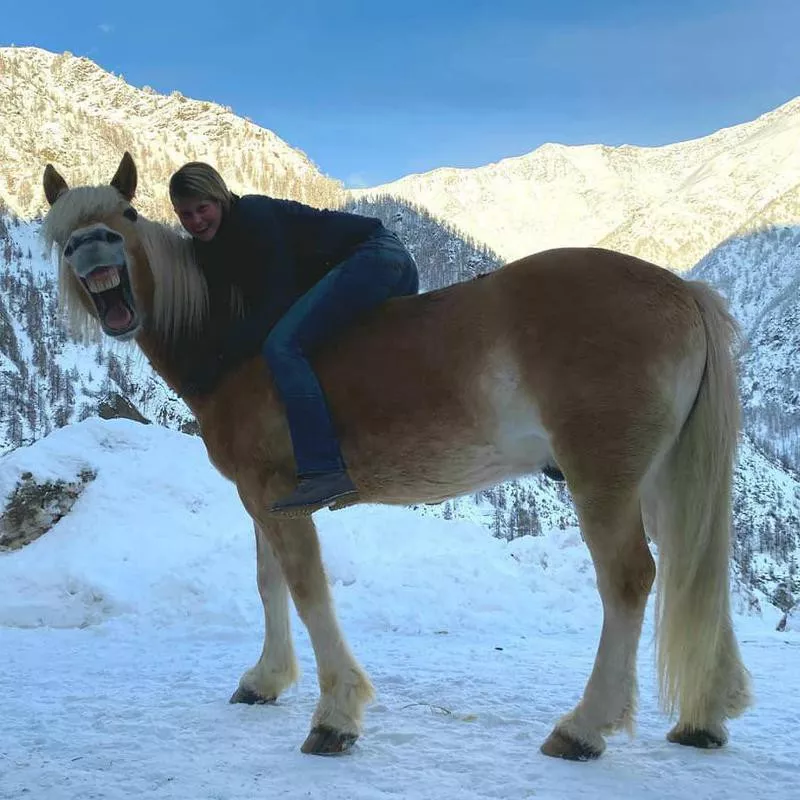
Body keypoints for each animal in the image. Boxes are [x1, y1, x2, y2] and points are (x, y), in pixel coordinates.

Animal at [39, 153, 752, 760]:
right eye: (60, 232)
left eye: (127, 214)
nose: (92, 253)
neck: (231, 343)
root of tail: (683, 290)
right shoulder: (260, 499)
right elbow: (270, 583)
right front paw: (266, 680)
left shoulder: (276, 497)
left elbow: (306, 588)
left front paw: (334, 715)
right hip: (659, 479)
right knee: (694, 564)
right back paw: (704, 717)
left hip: (603, 479)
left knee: (630, 579)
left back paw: (584, 727)